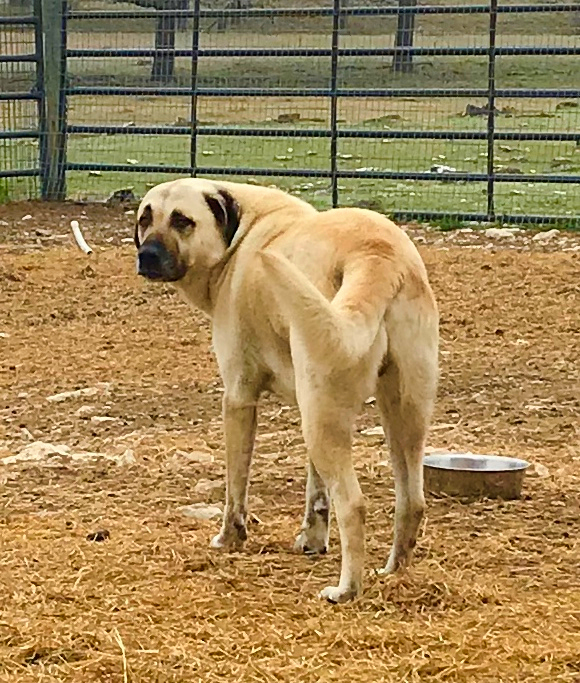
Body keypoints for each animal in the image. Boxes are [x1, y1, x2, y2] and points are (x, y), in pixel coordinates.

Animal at [134, 178, 438, 604]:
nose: (146, 256)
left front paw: (229, 538)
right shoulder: (308, 408)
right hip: (398, 414)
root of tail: (380, 257)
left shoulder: (239, 398)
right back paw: (394, 571)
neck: (241, 236)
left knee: (353, 504)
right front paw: (311, 540)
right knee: (412, 501)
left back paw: (346, 589)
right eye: (145, 218)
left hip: (326, 420)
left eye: (182, 220)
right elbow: (316, 494)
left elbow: (235, 487)